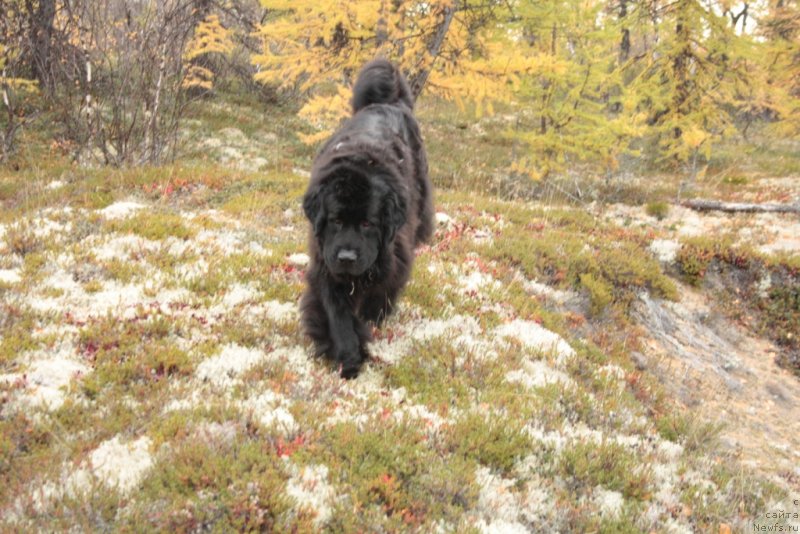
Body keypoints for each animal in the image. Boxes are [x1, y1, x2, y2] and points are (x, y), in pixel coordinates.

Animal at [300, 60, 434, 382]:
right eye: (335, 220)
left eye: (367, 224)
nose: (347, 257)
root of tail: (390, 102)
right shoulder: (325, 264)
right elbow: (338, 315)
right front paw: (348, 357)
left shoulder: (394, 257)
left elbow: (381, 293)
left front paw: (370, 324)